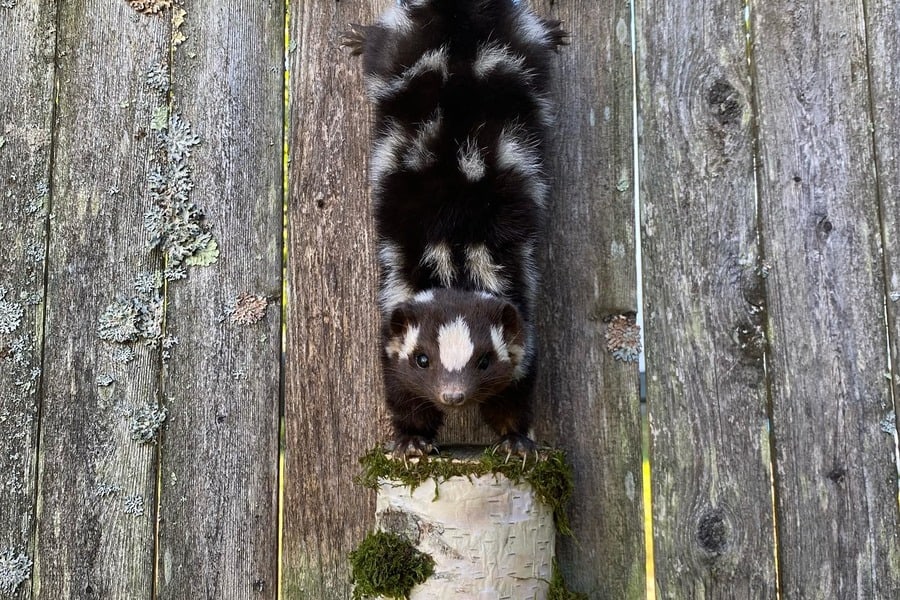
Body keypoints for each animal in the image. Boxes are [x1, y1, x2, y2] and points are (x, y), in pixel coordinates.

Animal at [344, 1, 564, 460]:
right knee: (379, 47)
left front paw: (516, 440)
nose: (453, 396)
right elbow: (399, 386)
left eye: (484, 361)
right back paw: (358, 36)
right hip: (403, 44)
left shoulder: (516, 299)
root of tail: (459, 14)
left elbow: (517, 384)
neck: (457, 263)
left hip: (518, 44)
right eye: (422, 359)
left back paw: (553, 31)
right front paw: (411, 439)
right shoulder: (397, 303)